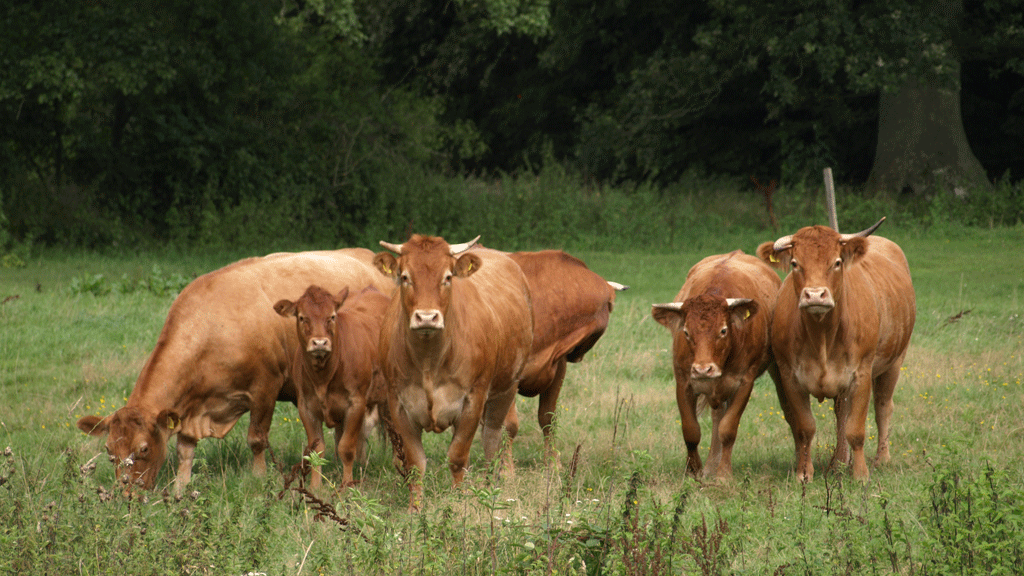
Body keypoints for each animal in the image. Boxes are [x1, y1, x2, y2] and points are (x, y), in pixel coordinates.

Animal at [273, 285, 391, 490]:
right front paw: (315, 486)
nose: (320, 342)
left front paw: (347, 484)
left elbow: (347, 447)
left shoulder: (356, 404)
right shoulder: (306, 407)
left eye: (332, 316)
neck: (323, 376)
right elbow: (317, 450)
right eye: (302, 317)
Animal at [373, 235, 533, 510]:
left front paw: (460, 502)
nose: (427, 317)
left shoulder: (472, 400)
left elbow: (458, 457)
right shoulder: (398, 403)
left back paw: (491, 485)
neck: (429, 361)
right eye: (404, 277)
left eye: (447, 277)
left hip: (506, 387)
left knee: (492, 437)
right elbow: (415, 463)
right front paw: (415, 508)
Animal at [504, 250, 626, 461]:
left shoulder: (557, 367)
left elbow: (548, 418)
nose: (577, 357)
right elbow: (508, 426)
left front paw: (553, 464)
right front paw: (503, 469)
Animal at [651, 250, 782, 481]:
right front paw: (693, 471)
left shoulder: (744, 383)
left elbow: (727, 430)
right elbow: (691, 431)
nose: (703, 369)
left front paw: (723, 475)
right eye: (686, 332)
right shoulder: (684, 382)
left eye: (723, 330)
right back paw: (710, 465)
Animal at [756, 218, 916, 481]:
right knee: (842, 413)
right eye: (795, 263)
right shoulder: (790, 377)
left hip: (894, 362)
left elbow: (856, 429)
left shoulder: (861, 374)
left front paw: (860, 474)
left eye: (837, 262)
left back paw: (881, 458)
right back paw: (839, 461)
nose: (814, 295)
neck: (822, 337)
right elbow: (805, 428)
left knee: (883, 407)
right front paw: (804, 473)